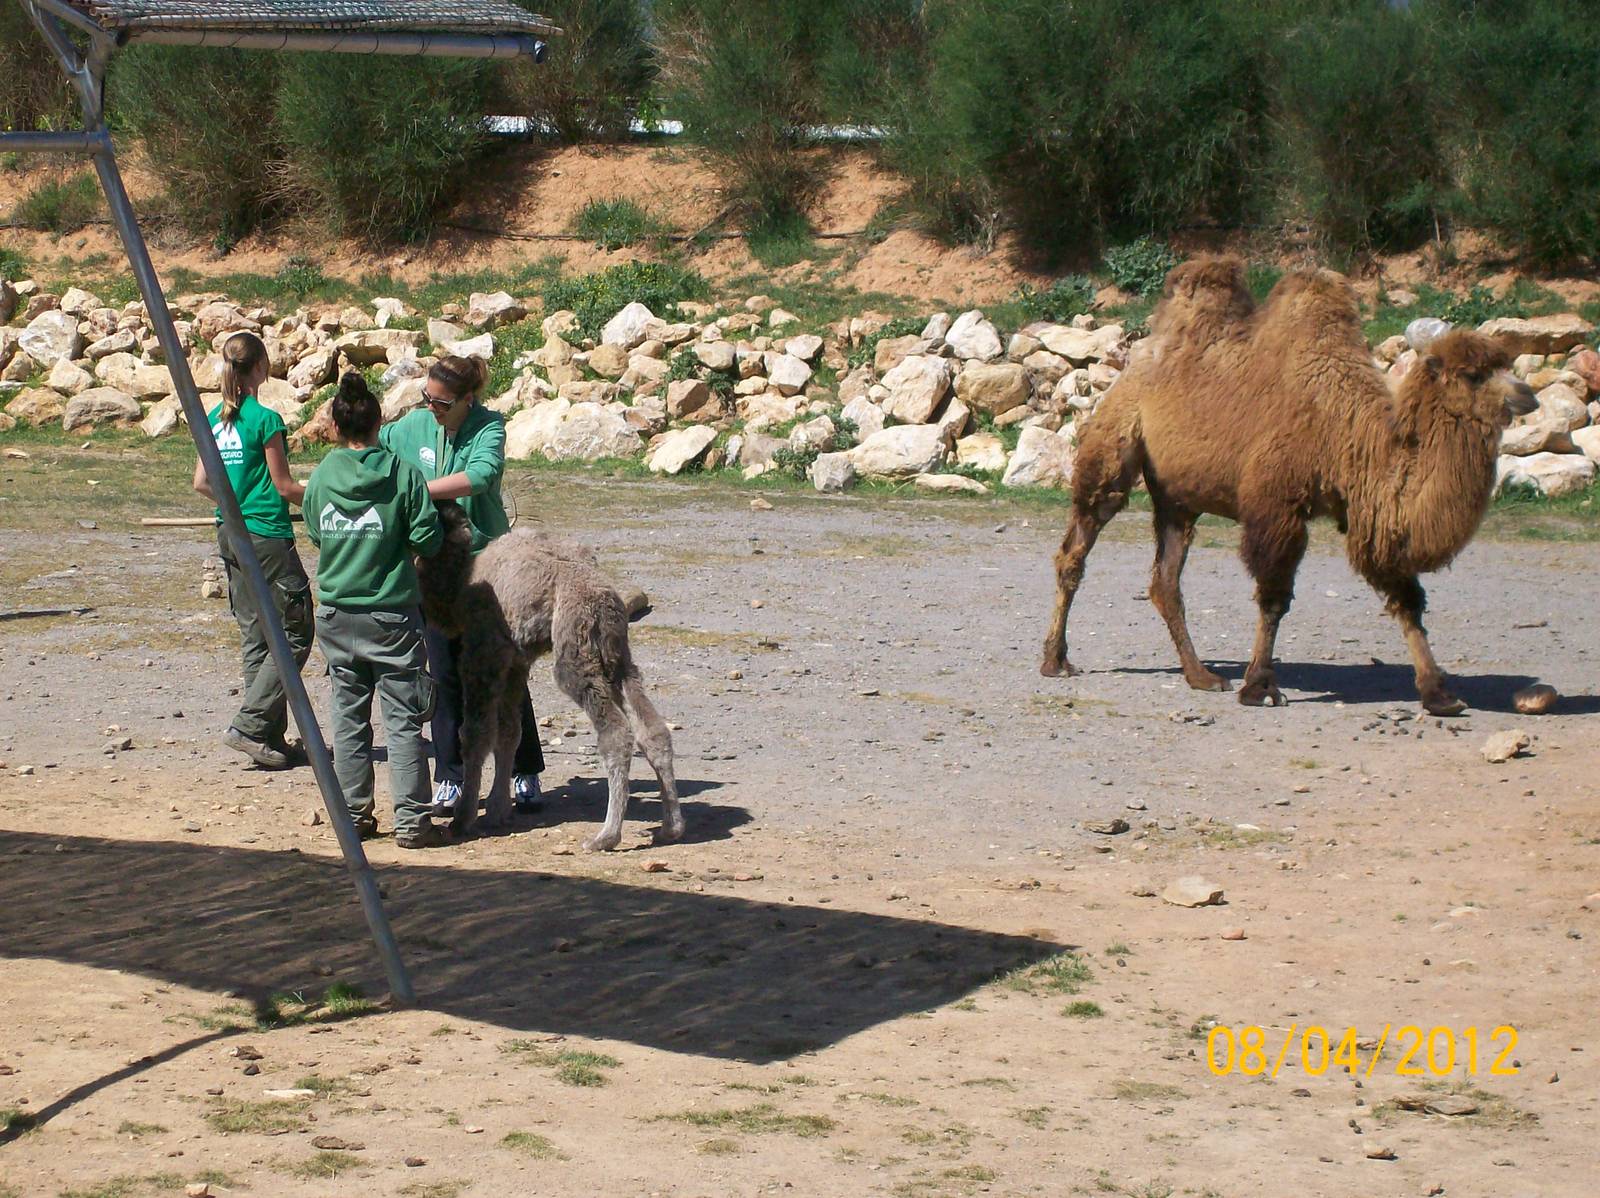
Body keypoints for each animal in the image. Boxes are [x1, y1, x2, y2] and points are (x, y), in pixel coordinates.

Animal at [416, 502, 682, 851]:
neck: (461, 588)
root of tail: (606, 602)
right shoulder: (516, 661)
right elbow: (509, 732)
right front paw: (497, 811)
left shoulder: (483, 649)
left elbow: (476, 734)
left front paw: (463, 819)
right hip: (618, 658)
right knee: (652, 729)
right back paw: (671, 828)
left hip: (576, 652)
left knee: (615, 732)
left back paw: (605, 836)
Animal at [1040, 256, 1537, 715]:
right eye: (1473, 375)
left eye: (1505, 364)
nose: (1528, 396)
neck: (1349, 432)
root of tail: (1138, 358)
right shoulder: (1277, 504)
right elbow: (1274, 597)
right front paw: (1260, 686)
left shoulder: (1366, 512)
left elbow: (1405, 599)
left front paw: (1439, 694)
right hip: (1115, 443)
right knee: (1077, 546)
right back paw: (1056, 661)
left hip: (1178, 495)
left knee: (1165, 580)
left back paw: (1201, 676)